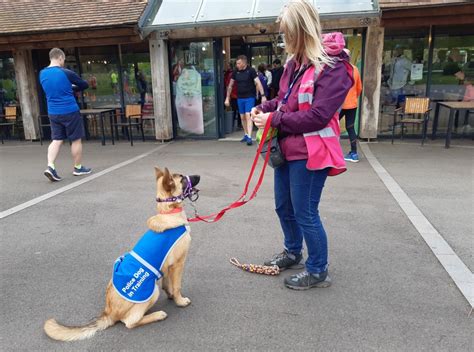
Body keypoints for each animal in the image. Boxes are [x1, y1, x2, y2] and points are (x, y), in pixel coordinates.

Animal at [44, 168, 200, 340]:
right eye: (182, 179)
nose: (199, 176)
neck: (168, 211)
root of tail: (108, 312)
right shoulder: (179, 263)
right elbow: (177, 286)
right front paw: (180, 301)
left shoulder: (167, 266)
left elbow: (168, 285)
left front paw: (172, 296)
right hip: (152, 292)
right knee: (130, 322)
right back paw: (157, 315)